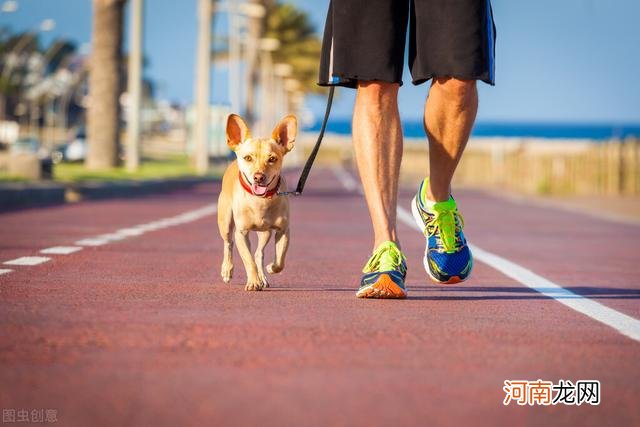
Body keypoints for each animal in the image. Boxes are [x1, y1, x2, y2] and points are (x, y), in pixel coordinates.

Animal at [215, 114, 296, 290]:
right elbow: (248, 260)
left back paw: (263, 276)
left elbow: (280, 260)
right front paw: (253, 282)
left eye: (272, 159)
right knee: (228, 243)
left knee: (259, 253)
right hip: (225, 222)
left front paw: (271, 268)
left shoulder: (283, 230)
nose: (259, 177)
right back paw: (227, 270)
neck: (260, 201)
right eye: (248, 158)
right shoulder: (241, 233)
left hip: (265, 232)